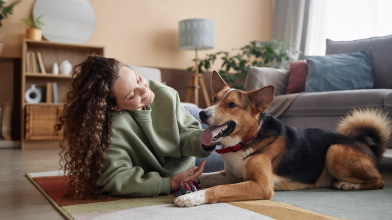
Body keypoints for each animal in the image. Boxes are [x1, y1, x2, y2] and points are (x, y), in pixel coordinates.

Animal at [175, 71, 392, 207]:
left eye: (231, 105)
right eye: (214, 99)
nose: (202, 113)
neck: (247, 140)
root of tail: (367, 146)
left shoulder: (261, 185)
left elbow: (218, 189)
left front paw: (192, 197)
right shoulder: (231, 175)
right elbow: (204, 176)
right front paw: (182, 182)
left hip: (334, 150)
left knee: (379, 181)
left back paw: (349, 185)